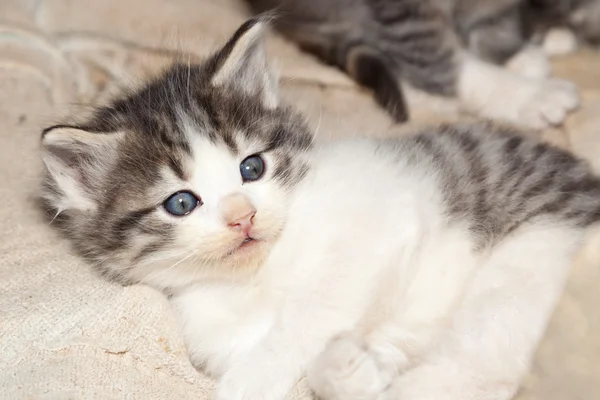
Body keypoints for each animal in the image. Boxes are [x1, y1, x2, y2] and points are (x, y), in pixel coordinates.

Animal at [41, 18, 600, 400]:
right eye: (181, 202)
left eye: (251, 168)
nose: (243, 216)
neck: (257, 276)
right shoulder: (215, 330)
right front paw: (358, 366)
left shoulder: (381, 218)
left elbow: (314, 310)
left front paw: (253, 380)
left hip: (531, 262)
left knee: (479, 363)